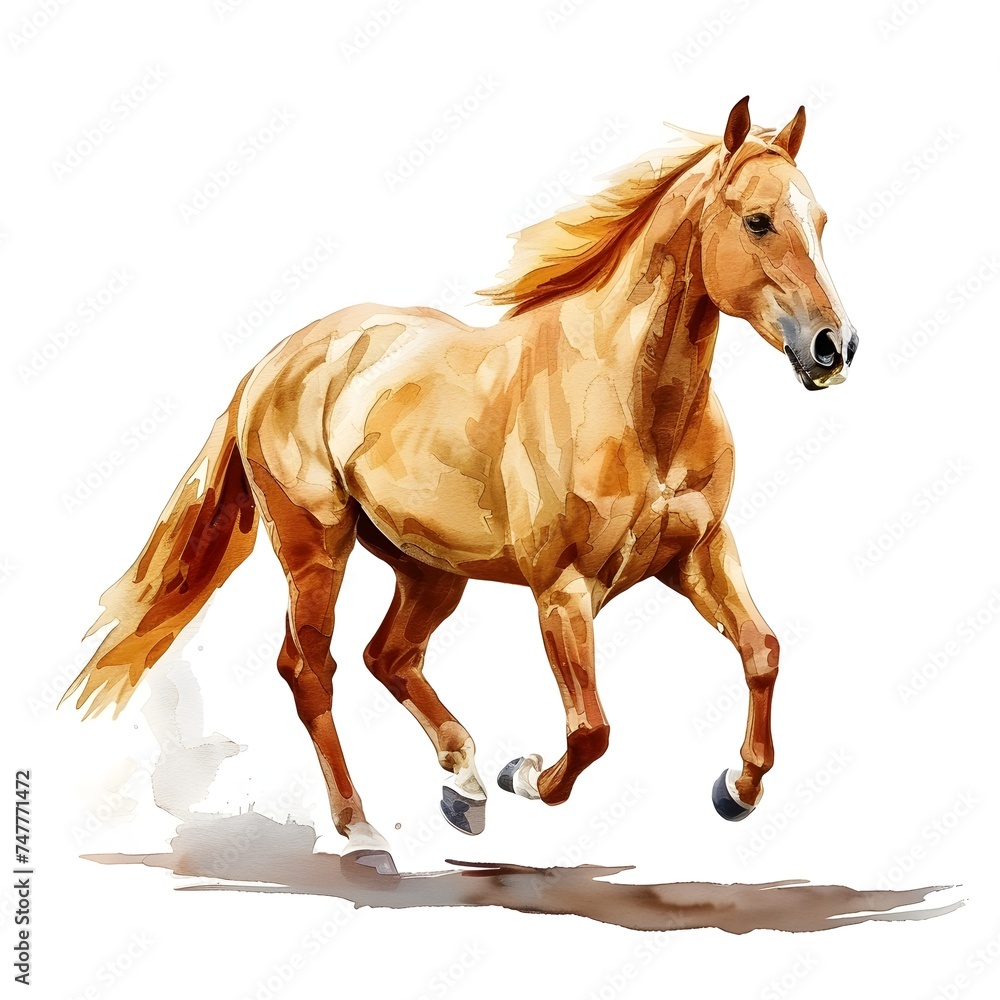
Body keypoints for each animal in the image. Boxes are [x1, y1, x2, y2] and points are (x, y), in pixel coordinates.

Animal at [63, 97, 857, 876]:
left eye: (820, 221)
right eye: (758, 220)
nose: (834, 346)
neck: (630, 395)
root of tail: (272, 364)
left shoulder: (698, 554)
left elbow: (762, 650)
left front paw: (737, 791)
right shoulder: (564, 589)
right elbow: (592, 730)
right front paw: (523, 775)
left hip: (430, 569)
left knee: (388, 656)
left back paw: (463, 787)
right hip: (316, 548)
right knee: (310, 668)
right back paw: (366, 833)